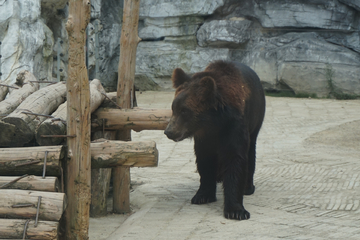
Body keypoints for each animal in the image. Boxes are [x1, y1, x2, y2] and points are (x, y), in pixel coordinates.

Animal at [165, 60, 266, 219]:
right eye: (173, 108)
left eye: (185, 111)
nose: (169, 131)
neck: (214, 122)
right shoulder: (204, 136)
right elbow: (205, 159)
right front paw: (202, 195)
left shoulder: (234, 125)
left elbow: (235, 158)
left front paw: (236, 210)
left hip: (256, 117)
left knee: (251, 151)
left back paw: (248, 187)